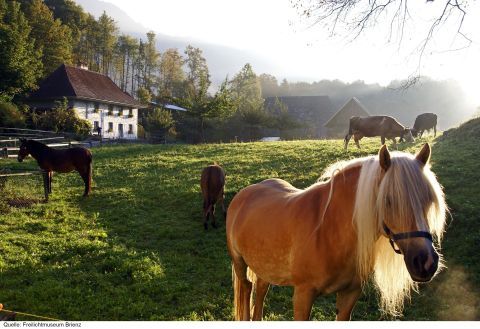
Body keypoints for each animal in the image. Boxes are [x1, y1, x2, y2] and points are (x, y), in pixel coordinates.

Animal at [227, 143, 448, 318]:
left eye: (428, 199)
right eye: (388, 200)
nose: (426, 262)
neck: (329, 231)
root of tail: (246, 192)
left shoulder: (350, 295)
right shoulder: (303, 295)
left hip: (264, 268)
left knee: (260, 292)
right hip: (239, 263)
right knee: (246, 288)